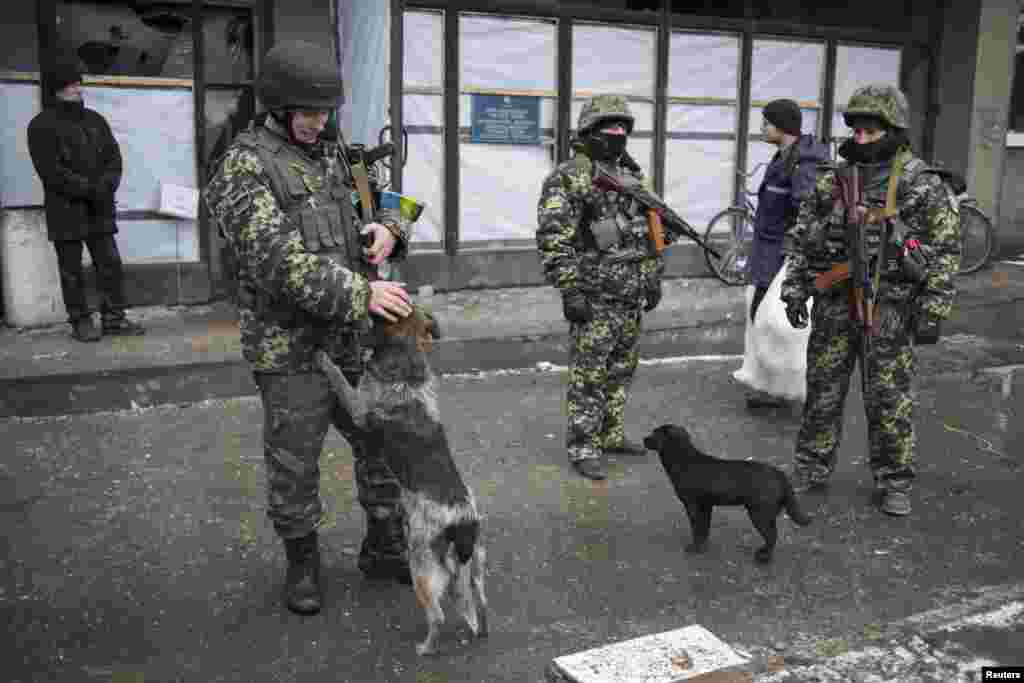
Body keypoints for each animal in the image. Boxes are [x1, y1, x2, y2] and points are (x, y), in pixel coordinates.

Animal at [311, 309, 487, 655]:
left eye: (371, 318)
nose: (347, 325)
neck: (407, 358)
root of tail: (461, 520)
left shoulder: (358, 406)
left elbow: (339, 377)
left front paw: (324, 357)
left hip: (422, 563)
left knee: (438, 615)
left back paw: (426, 648)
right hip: (475, 561)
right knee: (480, 601)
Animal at [643, 423, 811, 565]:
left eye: (654, 433)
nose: (644, 439)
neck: (684, 461)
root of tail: (779, 473)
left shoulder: (693, 506)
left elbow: (697, 528)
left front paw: (694, 548)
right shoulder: (706, 507)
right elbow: (704, 528)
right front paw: (703, 546)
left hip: (759, 513)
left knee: (772, 536)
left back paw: (763, 557)